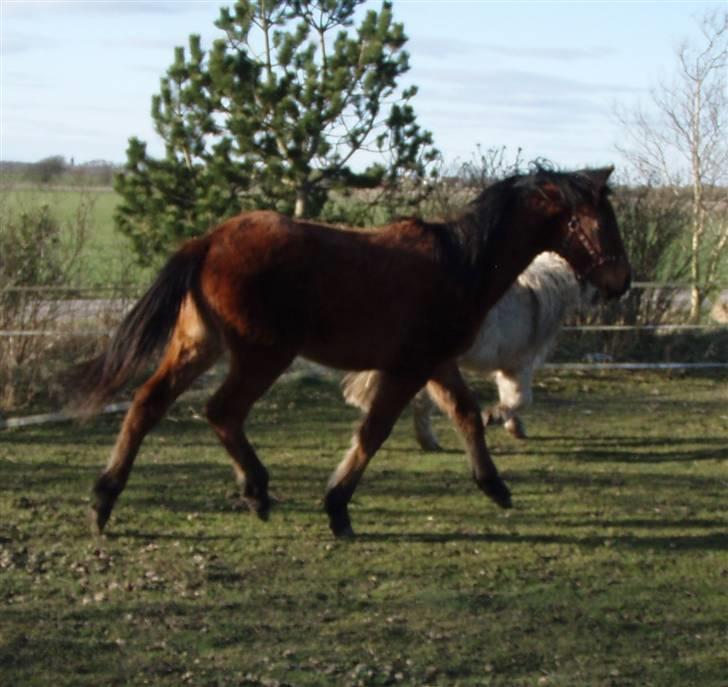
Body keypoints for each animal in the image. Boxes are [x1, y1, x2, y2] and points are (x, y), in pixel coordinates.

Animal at [342, 253, 592, 452]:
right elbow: (521, 399)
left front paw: (513, 426)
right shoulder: (519, 364)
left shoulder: (507, 367)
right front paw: (494, 417)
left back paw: (427, 441)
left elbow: (511, 397)